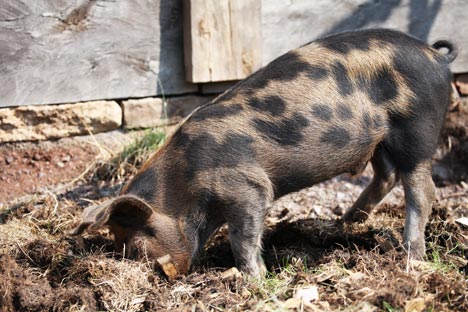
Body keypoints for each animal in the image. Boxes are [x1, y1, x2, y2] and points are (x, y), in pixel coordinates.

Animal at [71, 29, 458, 278]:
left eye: (137, 245)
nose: (154, 276)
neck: (183, 181)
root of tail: (436, 56)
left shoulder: (248, 188)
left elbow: (243, 237)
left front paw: (254, 279)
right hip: (382, 139)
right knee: (386, 175)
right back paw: (345, 223)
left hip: (417, 128)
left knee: (422, 191)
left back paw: (411, 257)